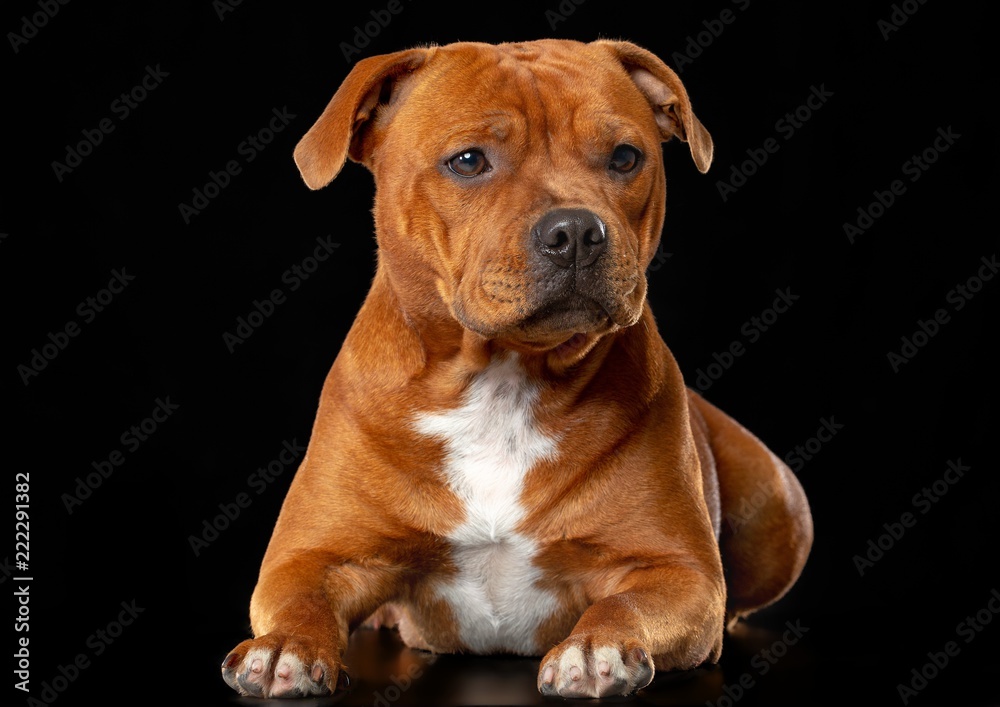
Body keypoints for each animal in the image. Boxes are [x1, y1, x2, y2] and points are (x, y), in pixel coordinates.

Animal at [221, 40, 812, 704]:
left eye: (625, 157)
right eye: (468, 161)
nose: (576, 230)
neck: (502, 381)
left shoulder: (676, 571)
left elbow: (623, 607)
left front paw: (594, 649)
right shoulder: (310, 558)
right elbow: (301, 602)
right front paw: (282, 648)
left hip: (780, 505)